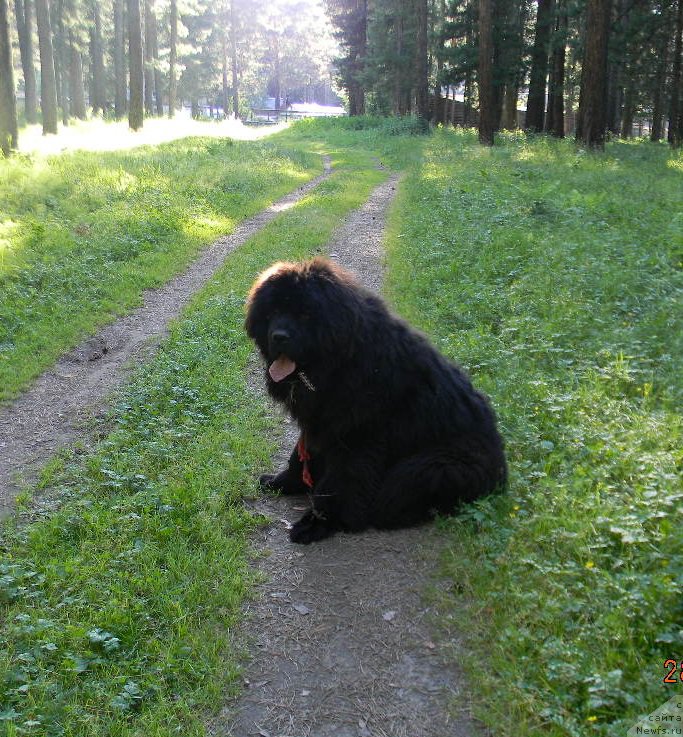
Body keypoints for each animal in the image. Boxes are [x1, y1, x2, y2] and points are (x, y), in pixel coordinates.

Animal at [246, 258, 508, 540]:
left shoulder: (357, 435)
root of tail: (502, 470)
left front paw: (320, 520)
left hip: (435, 467)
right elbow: (301, 454)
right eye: (273, 312)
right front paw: (283, 481)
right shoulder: (319, 422)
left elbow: (340, 480)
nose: (279, 336)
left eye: (305, 314)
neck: (342, 360)